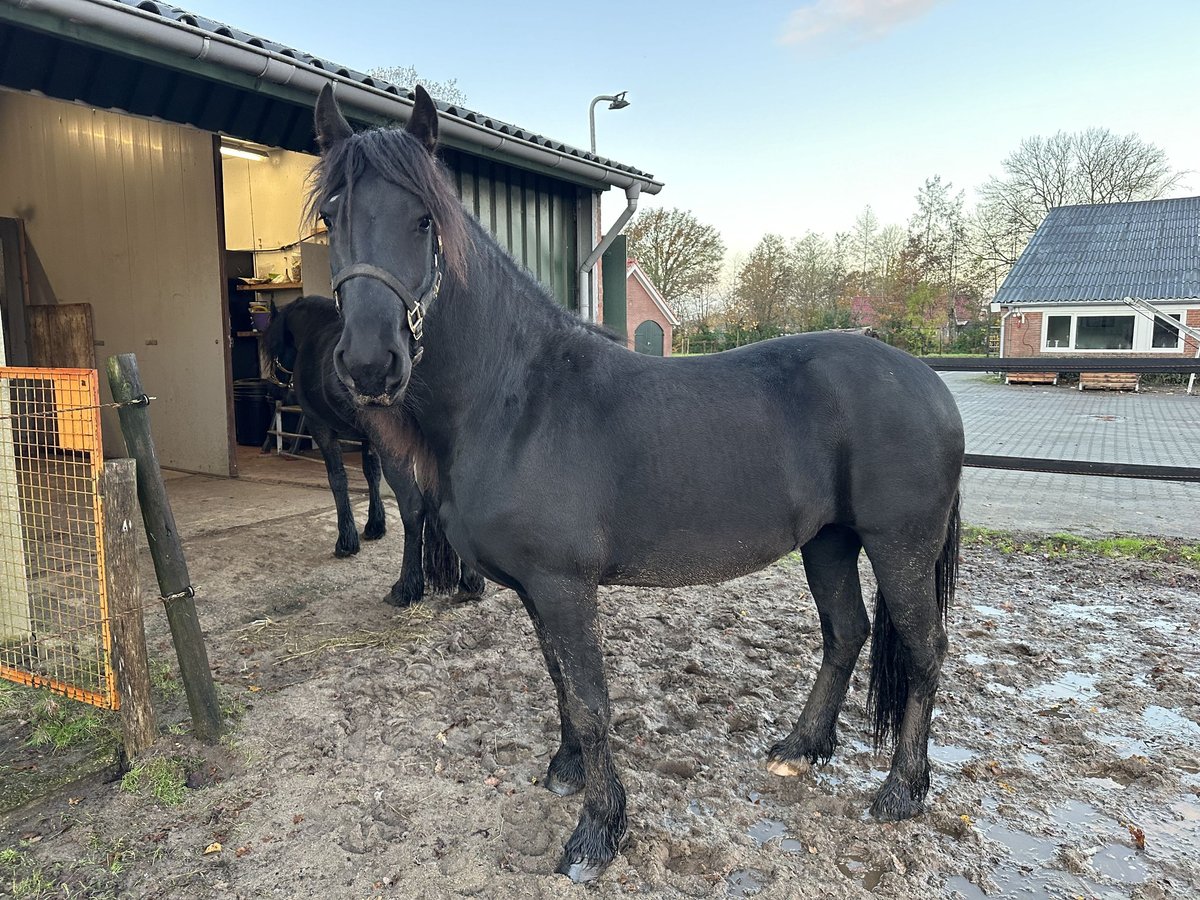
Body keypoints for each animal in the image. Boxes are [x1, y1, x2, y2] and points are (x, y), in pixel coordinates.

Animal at [265, 296, 484, 607]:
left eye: (271, 347)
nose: (273, 392)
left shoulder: (321, 429)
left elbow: (338, 480)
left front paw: (347, 541)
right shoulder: (368, 440)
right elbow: (371, 476)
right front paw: (374, 526)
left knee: (412, 507)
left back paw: (406, 587)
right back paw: (470, 582)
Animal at [312, 88, 964, 883]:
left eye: (424, 219)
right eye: (330, 216)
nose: (370, 364)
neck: (516, 398)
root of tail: (928, 381)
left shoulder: (564, 586)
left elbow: (593, 702)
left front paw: (598, 832)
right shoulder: (536, 589)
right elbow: (560, 682)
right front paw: (566, 771)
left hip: (900, 546)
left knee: (924, 650)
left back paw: (901, 790)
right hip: (829, 542)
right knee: (847, 633)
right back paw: (799, 748)